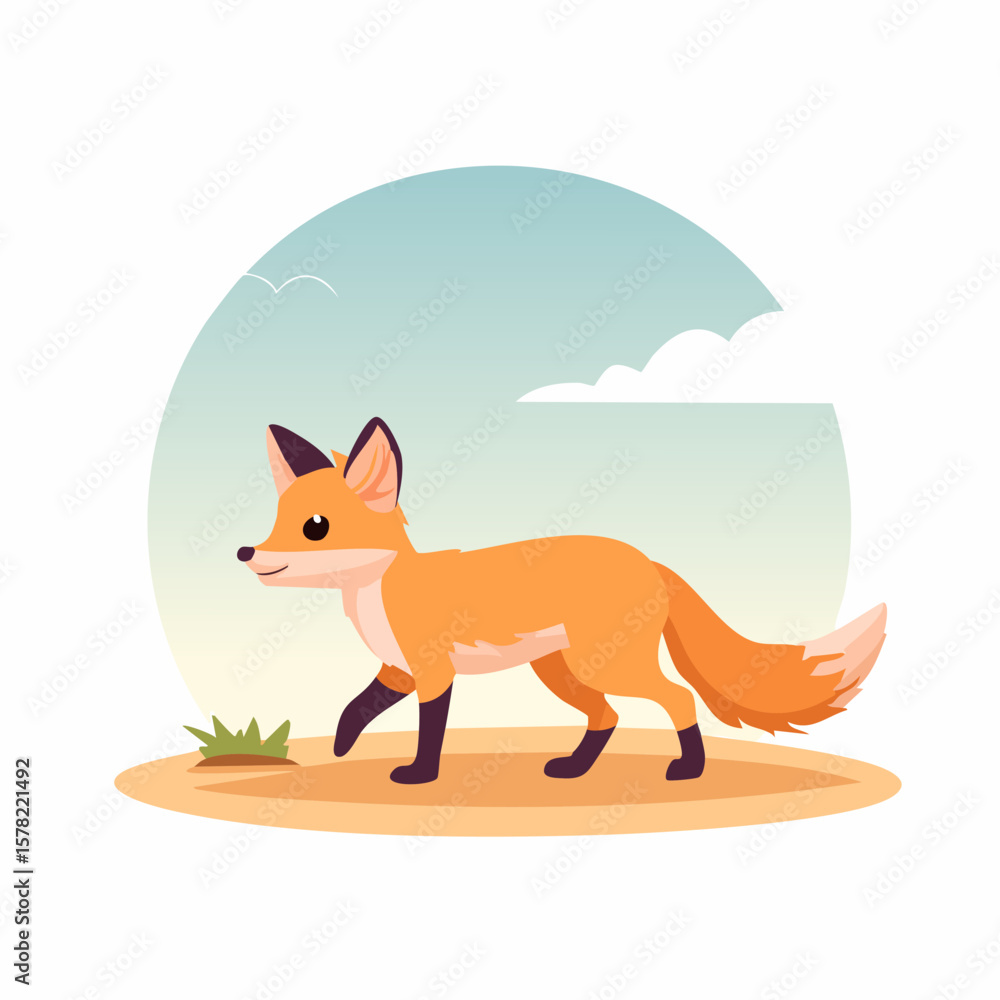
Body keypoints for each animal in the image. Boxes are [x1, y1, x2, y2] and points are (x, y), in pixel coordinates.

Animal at [237, 418, 887, 785]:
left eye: (315, 527)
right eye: (278, 519)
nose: (246, 551)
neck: (379, 591)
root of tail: (649, 560)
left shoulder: (433, 670)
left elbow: (430, 730)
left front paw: (420, 776)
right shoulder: (398, 669)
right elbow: (356, 707)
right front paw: (343, 745)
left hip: (603, 666)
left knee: (675, 699)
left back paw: (688, 769)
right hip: (564, 671)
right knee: (609, 717)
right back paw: (574, 768)